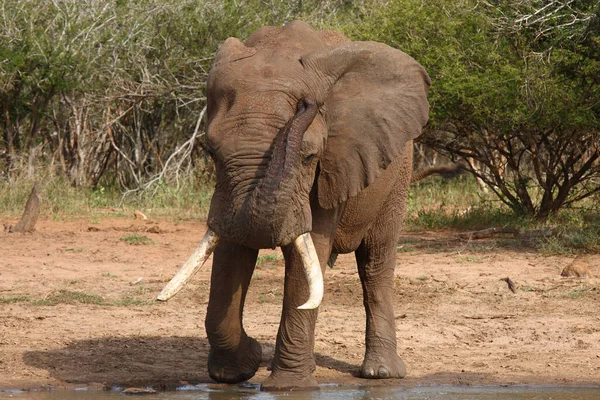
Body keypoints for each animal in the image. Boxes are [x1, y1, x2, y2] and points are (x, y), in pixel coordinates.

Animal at [157, 21, 428, 390]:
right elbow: (231, 252)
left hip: (398, 173)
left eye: (309, 156)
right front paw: (240, 367)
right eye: (211, 152)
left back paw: (382, 372)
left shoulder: (334, 163)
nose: (307, 104)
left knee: (376, 261)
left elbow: (311, 251)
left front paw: (287, 386)